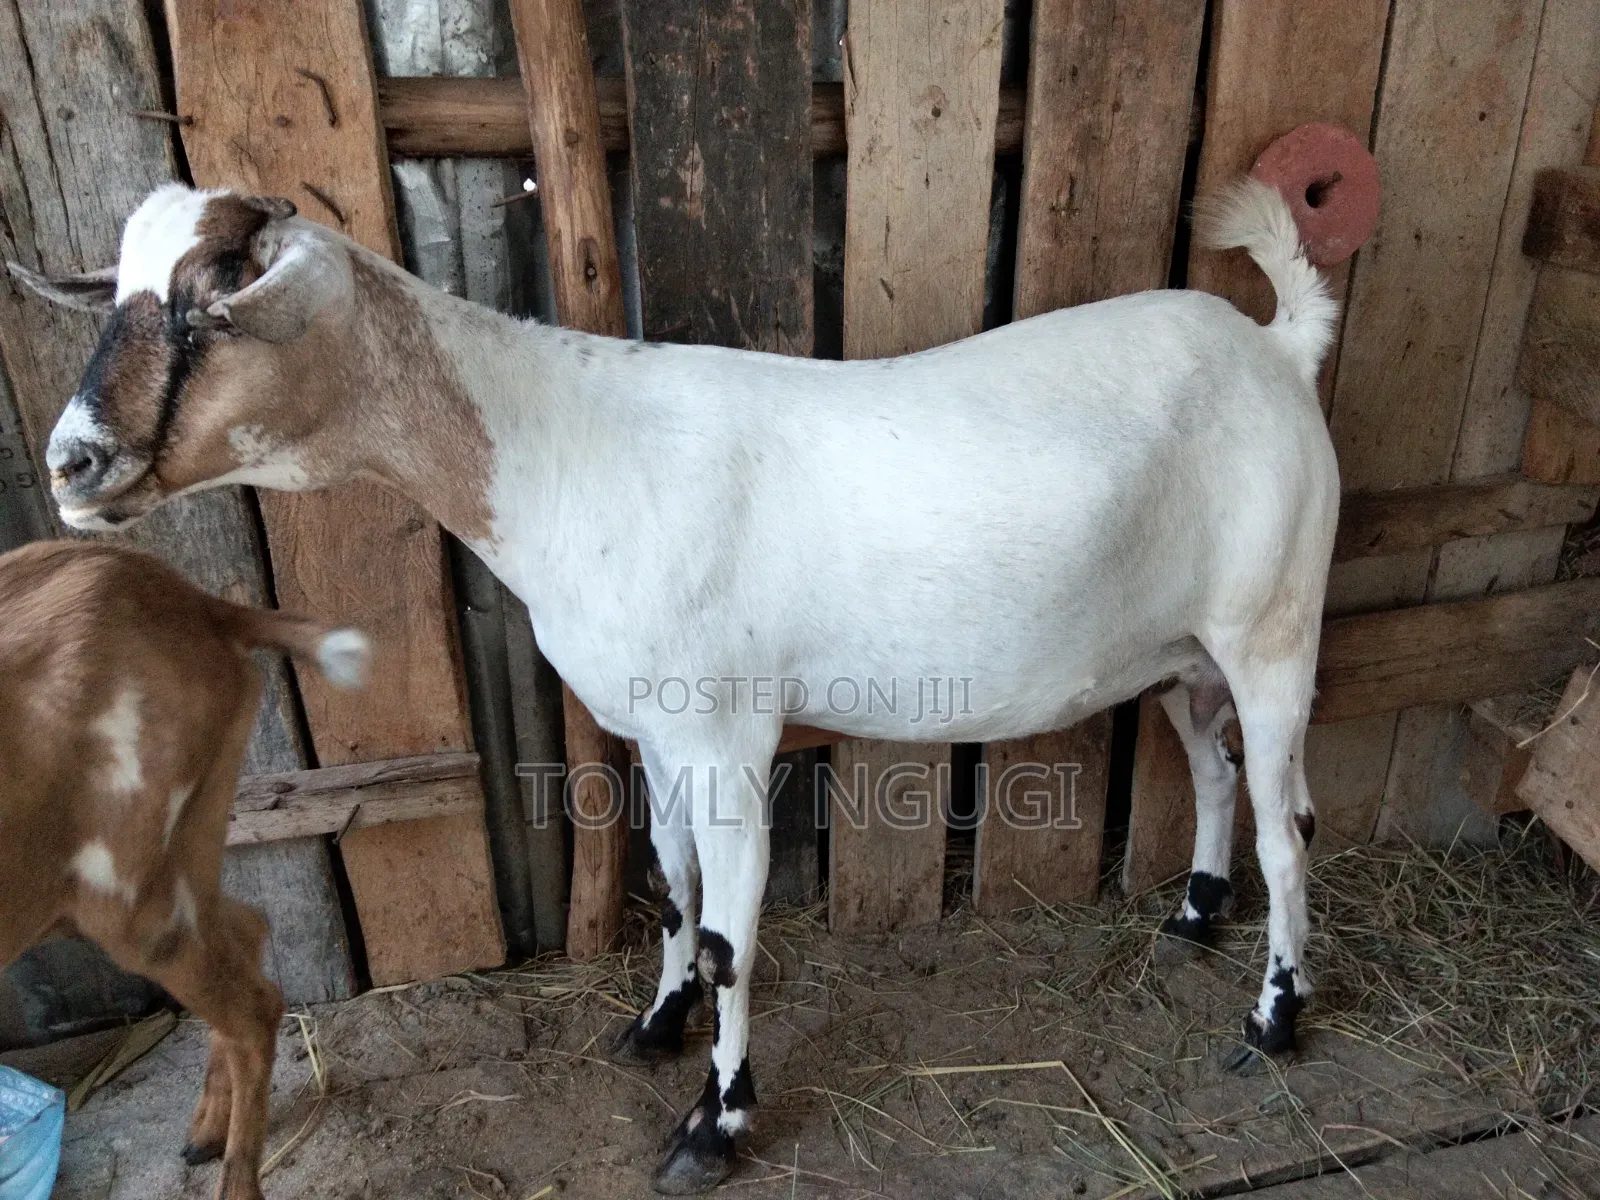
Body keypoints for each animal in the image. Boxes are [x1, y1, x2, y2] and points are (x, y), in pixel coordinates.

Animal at [0, 539, 370, 1200]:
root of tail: (195, 603)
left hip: (131, 889)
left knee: (253, 1005)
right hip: (181, 836)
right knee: (248, 931)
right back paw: (204, 1133)